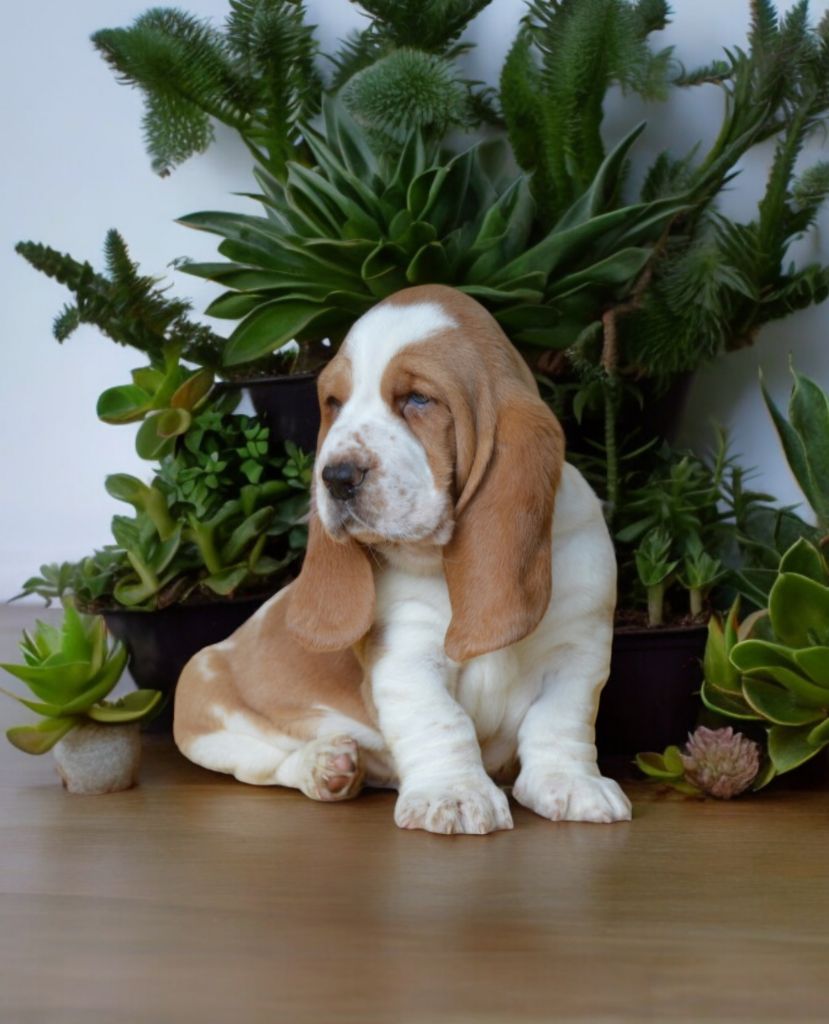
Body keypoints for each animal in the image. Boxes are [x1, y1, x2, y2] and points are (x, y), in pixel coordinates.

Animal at [173, 285, 632, 834]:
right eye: (333, 402)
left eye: (417, 399)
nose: (336, 476)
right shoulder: (407, 657)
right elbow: (441, 722)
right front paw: (454, 795)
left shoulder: (578, 651)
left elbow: (560, 722)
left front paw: (571, 784)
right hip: (199, 700)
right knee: (267, 765)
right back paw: (325, 765)